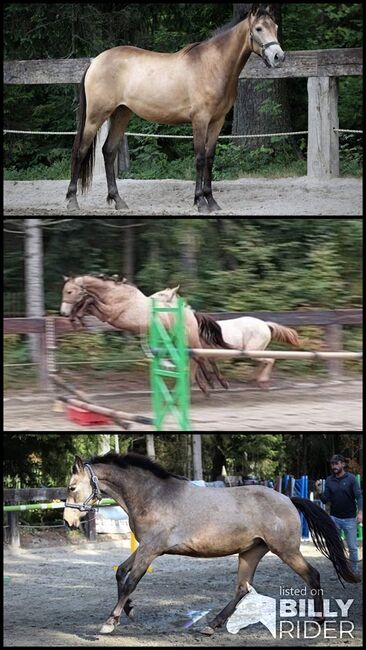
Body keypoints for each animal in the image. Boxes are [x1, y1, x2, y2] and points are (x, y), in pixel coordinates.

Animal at [63, 450, 360, 632]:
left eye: (72, 487)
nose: (68, 521)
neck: (153, 494)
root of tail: (287, 498)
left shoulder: (151, 549)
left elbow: (130, 581)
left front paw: (110, 622)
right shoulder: (147, 548)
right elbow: (121, 573)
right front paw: (129, 610)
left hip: (285, 550)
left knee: (312, 575)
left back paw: (318, 622)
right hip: (251, 552)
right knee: (242, 588)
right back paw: (213, 625)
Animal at [67, 5, 288, 213]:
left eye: (275, 27)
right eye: (259, 28)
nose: (279, 57)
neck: (213, 65)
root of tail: (95, 61)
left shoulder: (217, 121)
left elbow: (210, 158)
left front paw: (212, 201)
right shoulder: (200, 120)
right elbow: (199, 158)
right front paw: (200, 202)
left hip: (121, 114)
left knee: (108, 151)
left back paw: (118, 201)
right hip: (95, 116)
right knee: (80, 151)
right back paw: (72, 201)